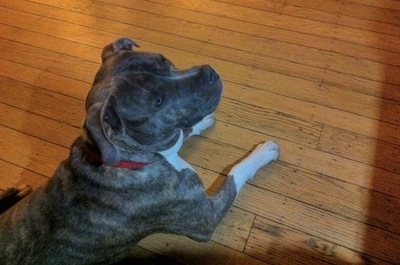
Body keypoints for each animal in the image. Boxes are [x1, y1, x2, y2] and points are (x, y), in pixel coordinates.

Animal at [0, 37, 280, 264]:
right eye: (157, 101)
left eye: (163, 60)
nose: (209, 72)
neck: (133, 158)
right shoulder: (205, 219)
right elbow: (235, 174)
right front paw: (263, 152)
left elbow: (182, 133)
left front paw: (201, 122)